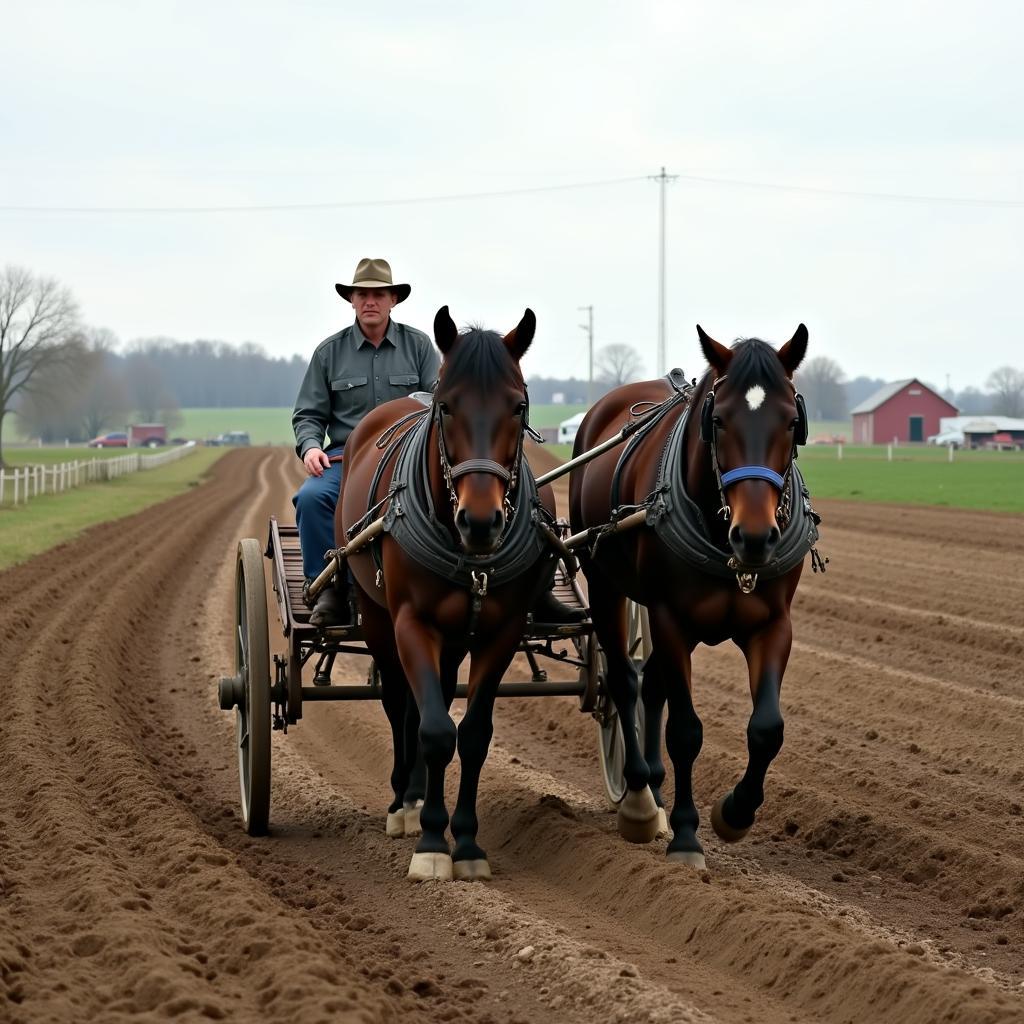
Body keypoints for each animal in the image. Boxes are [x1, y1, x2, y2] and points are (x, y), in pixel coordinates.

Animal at [339, 303, 557, 880]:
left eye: (518, 405)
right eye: (446, 406)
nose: (480, 520)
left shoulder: (500, 631)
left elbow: (473, 735)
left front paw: (469, 843)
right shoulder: (412, 622)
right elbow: (435, 730)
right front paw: (433, 843)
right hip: (378, 620)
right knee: (400, 703)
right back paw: (403, 802)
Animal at [573, 323, 819, 868]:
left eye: (792, 420)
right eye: (719, 419)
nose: (755, 536)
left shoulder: (773, 624)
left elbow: (767, 728)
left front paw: (735, 813)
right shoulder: (671, 620)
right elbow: (685, 730)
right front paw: (687, 836)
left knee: (651, 685)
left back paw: (657, 789)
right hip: (604, 584)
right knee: (624, 683)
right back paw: (640, 800)